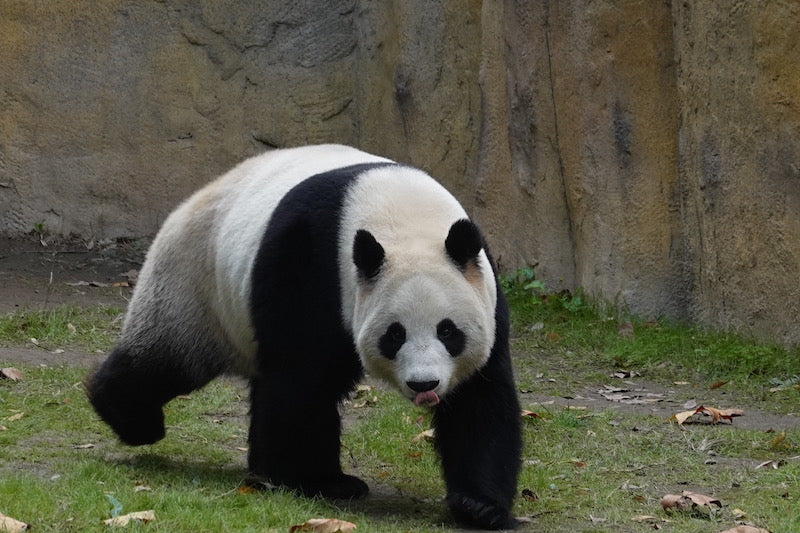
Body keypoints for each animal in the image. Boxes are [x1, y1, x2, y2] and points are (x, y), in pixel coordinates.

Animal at [87, 142, 520, 528]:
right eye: (394, 335)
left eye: (448, 331)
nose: (424, 384)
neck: (403, 216)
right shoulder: (312, 261)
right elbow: (303, 378)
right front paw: (308, 480)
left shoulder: (485, 294)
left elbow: (480, 399)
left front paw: (479, 506)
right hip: (195, 284)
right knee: (167, 359)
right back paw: (132, 416)